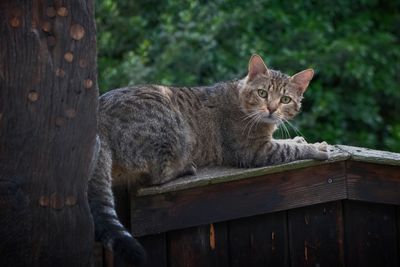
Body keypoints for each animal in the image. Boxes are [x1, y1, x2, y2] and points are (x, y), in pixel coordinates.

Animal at [87, 54, 328, 266]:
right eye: (262, 93)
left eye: (285, 99)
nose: (271, 108)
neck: (241, 99)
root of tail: (99, 117)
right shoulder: (254, 150)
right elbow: (289, 149)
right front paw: (315, 147)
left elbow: (288, 141)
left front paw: (301, 138)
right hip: (174, 131)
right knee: (155, 176)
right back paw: (185, 167)